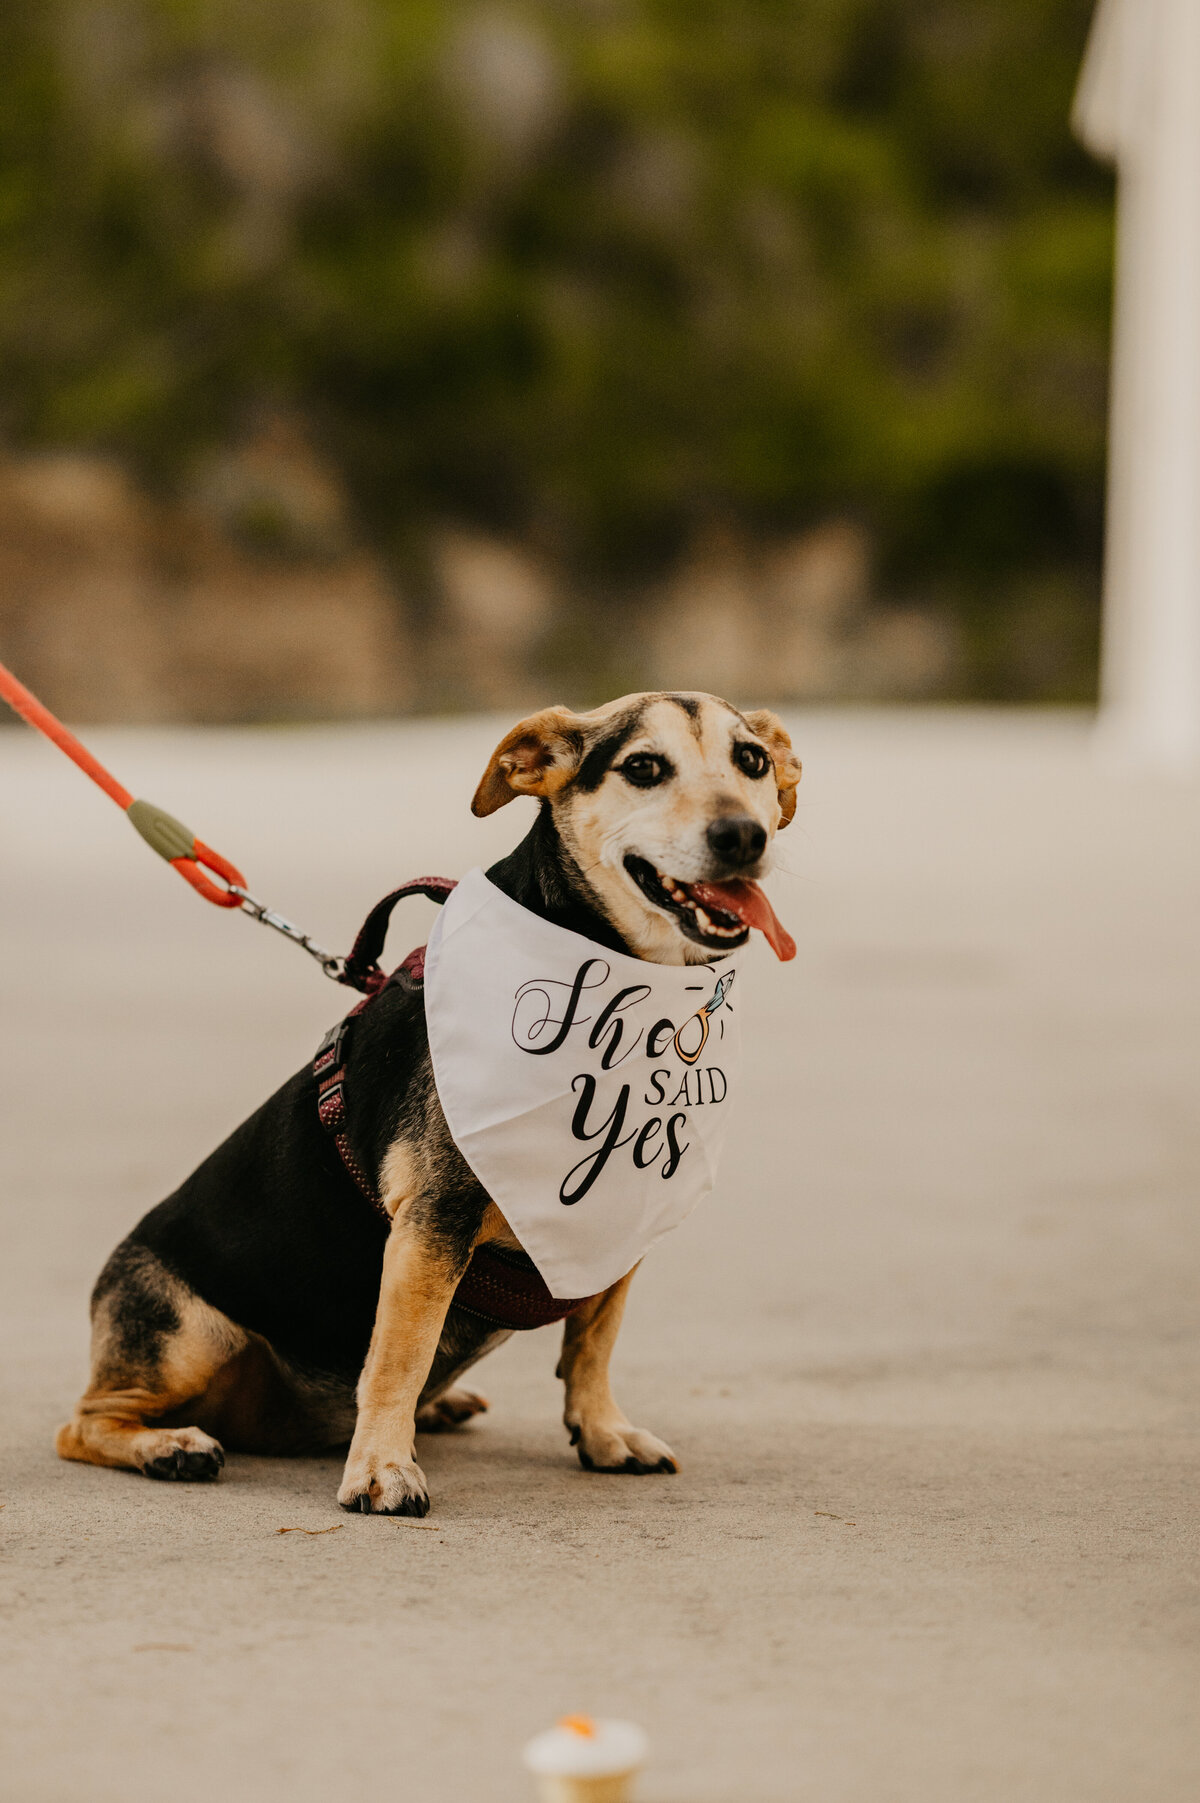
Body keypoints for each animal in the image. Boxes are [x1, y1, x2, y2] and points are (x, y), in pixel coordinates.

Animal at [60, 695, 800, 1514]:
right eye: (643, 767)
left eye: (751, 760)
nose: (744, 835)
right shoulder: (433, 1215)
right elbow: (400, 1352)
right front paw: (382, 1469)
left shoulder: (619, 1219)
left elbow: (593, 1342)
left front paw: (605, 1433)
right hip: (190, 1333)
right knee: (81, 1422)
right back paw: (169, 1447)